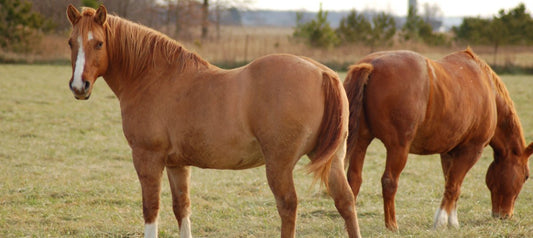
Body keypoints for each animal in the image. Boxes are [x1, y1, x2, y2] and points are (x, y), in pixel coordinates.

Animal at [64, 4, 360, 238]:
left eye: (99, 43)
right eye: (71, 42)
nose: (79, 86)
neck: (154, 77)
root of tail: (322, 72)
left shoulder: (147, 158)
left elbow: (151, 209)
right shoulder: (176, 164)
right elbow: (181, 208)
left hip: (279, 165)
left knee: (288, 206)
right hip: (332, 160)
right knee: (346, 201)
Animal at [342, 48, 528, 231]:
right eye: (526, 176)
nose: (505, 215)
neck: (486, 86)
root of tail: (371, 65)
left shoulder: (448, 152)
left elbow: (451, 184)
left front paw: (452, 221)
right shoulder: (472, 150)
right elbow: (454, 186)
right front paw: (442, 221)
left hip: (360, 142)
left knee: (354, 179)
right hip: (398, 148)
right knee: (389, 182)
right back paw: (392, 225)